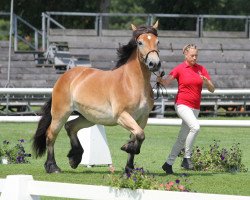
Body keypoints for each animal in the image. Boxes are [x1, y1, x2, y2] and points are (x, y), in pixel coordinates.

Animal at [32, 20, 161, 173]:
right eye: (140, 42)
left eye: (157, 42)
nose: (154, 63)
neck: (132, 83)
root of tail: (65, 76)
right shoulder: (122, 116)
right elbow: (140, 135)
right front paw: (127, 147)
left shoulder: (142, 118)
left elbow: (137, 137)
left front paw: (129, 168)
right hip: (60, 114)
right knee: (51, 135)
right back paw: (52, 166)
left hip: (89, 117)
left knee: (70, 127)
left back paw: (75, 158)